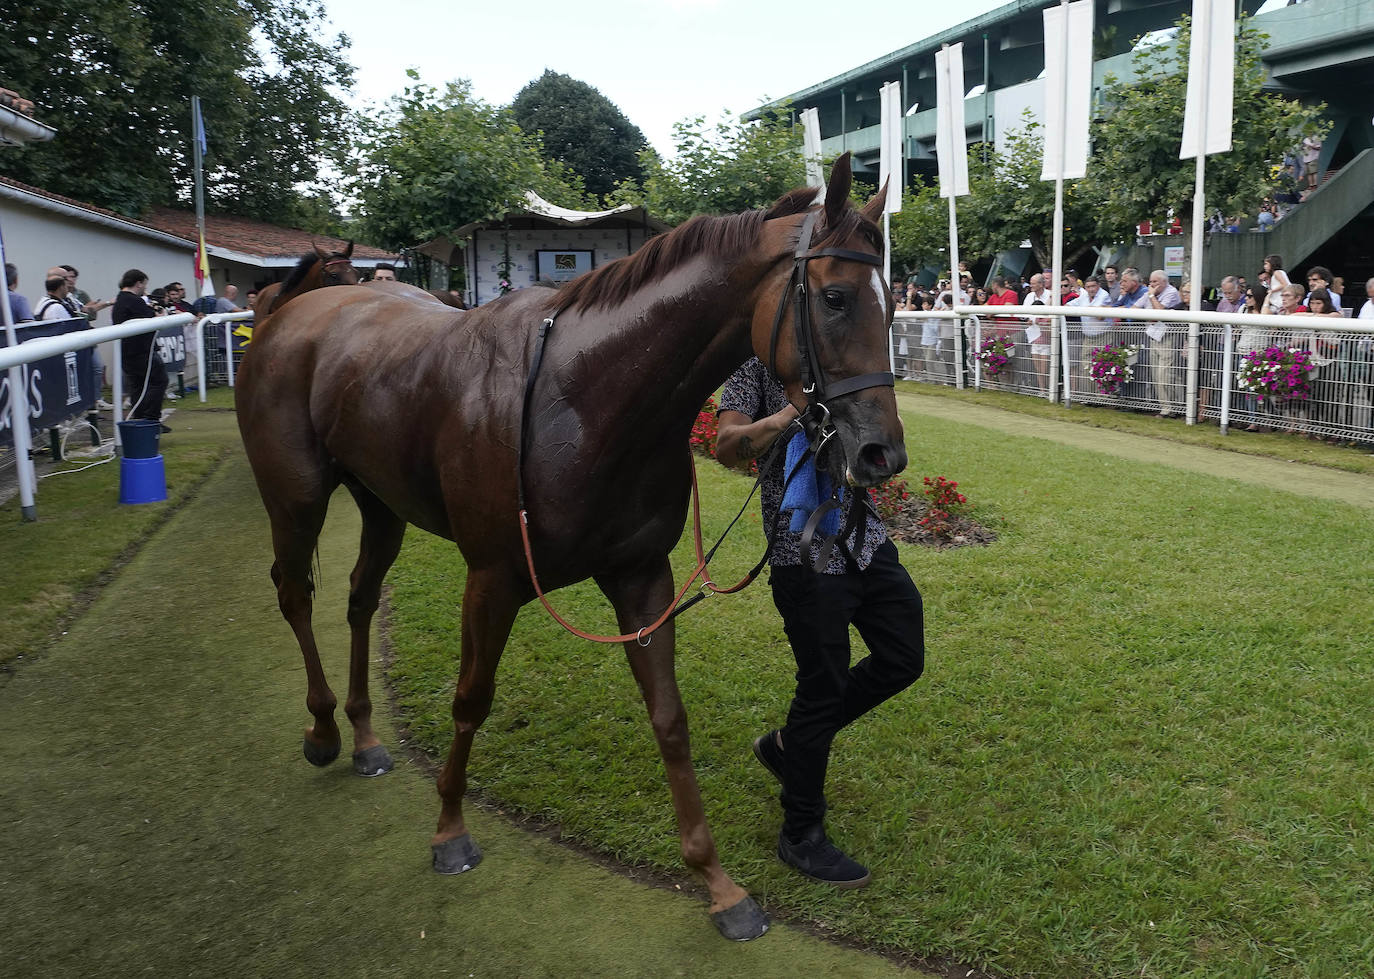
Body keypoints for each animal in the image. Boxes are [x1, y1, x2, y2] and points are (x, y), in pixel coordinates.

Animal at [233, 154, 901, 939]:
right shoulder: (492, 579)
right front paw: (450, 827)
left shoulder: (641, 576)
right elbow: (471, 699)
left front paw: (716, 882)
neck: (582, 400)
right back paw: (323, 727)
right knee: (294, 594)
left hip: (382, 503)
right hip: (296, 499)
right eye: (835, 297)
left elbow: (670, 718)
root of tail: (292, 314)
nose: (883, 453)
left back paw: (367, 735)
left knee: (360, 598)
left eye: (894, 306)